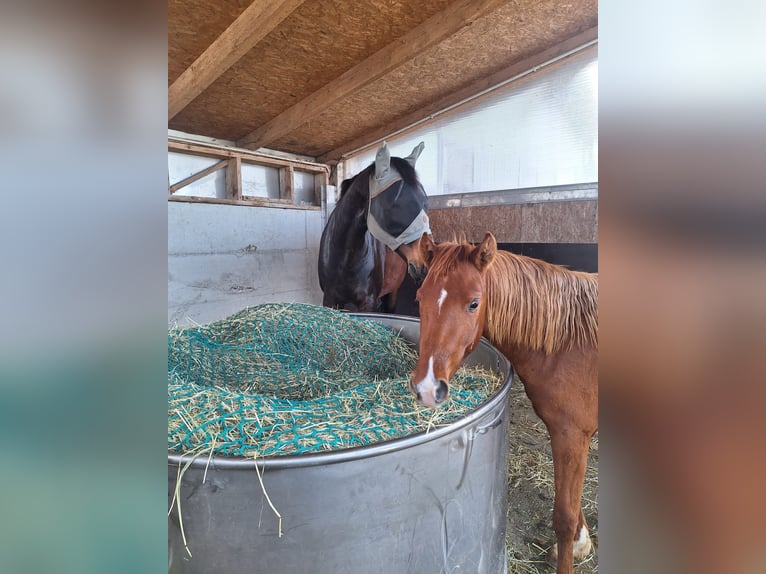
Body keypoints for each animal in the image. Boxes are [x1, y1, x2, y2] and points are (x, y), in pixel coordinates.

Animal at [318, 144, 432, 316]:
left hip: (392, 292)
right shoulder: (330, 300)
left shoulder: (368, 302)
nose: (426, 260)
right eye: (394, 205)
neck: (344, 258)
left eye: (425, 202)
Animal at [414, 233, 600, 574]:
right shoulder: (572, 438)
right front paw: (582, 543)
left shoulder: (571, 435)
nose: (427, 388)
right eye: (420, 298)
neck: (568, 343)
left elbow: (564, 517)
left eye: (474, 303)